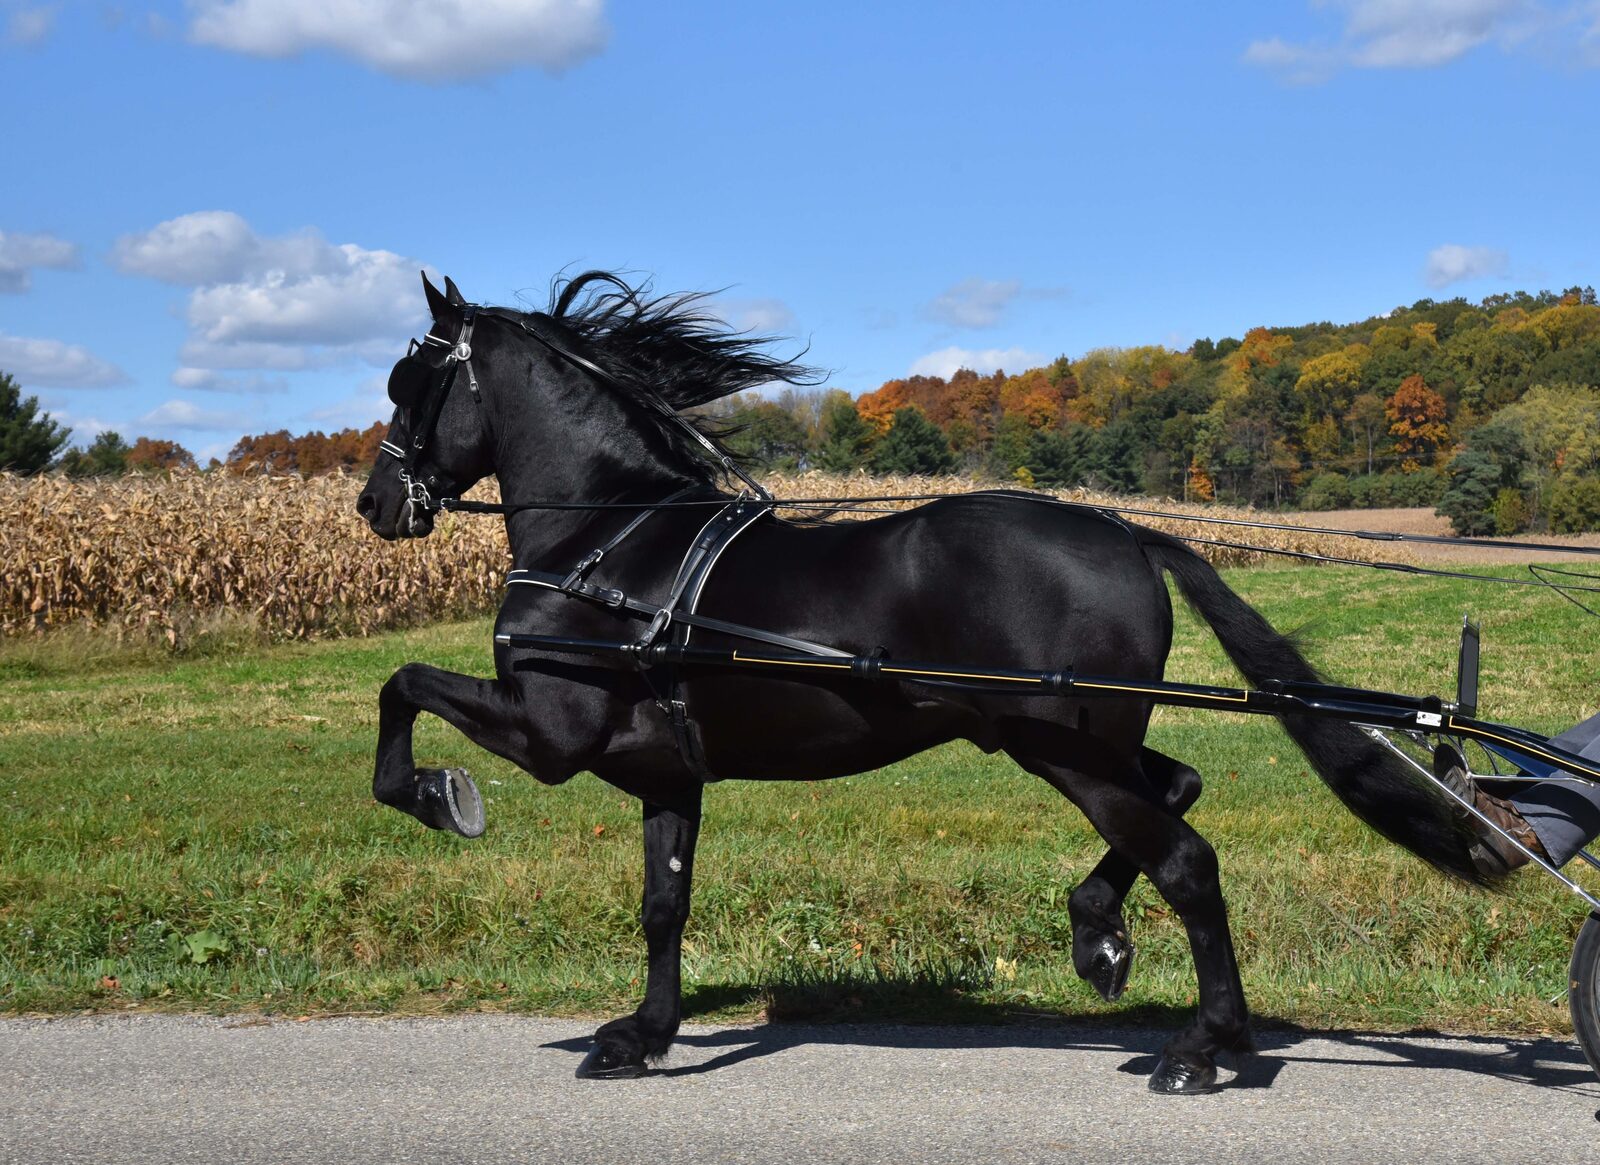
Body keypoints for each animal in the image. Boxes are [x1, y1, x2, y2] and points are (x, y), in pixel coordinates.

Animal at [356, 270, 1486, 1094]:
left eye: (410, 386)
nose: (375, 504)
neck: (613, 541)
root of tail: (1126, 532)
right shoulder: (663, 773)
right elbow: (663, 903)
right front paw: (643, 1033)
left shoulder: (550, 731)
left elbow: (402, 683)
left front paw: (435, 793)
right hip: (1088, 741)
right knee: (1174, 793)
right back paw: (1099, 937)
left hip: (1064, 749)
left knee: (1185, 857)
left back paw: (1202, 1046)